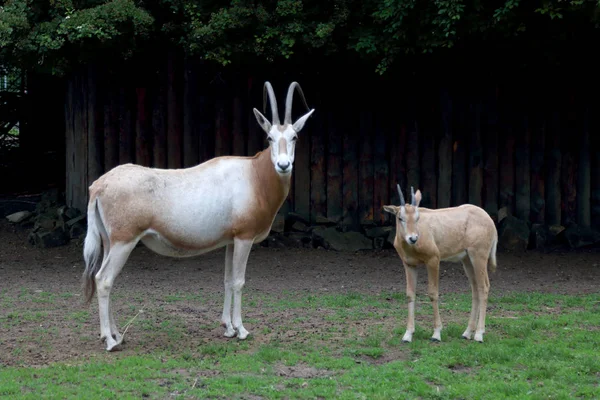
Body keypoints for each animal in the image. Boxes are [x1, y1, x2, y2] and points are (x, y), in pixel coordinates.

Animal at [82, 80, 316, 350]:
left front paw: (228, 328)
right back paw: (110, 340)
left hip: (110, 242)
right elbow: (239, 281)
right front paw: (241, 330)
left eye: (294, 136)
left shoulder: (231, 241)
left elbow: (227, 280)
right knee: (104, 279)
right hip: (124, 242)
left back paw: (117, 333)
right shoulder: (244, 238)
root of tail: (99, 185)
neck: (254, 175)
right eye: (269, 137)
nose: (283, 165)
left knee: (106, 279)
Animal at [384, 185, 496, 344]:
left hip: (478, 257)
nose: (413, 238)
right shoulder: (409, 265)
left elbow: (433, 293)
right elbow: (410, 294)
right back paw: (467, 332)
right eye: (401, 218)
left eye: (417, 218)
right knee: (475, 289)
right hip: (467, 260)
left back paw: (479, 334)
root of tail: (489, 219)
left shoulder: (433, 260)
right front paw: (408, 334)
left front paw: (436, 334)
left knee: (483, 287)